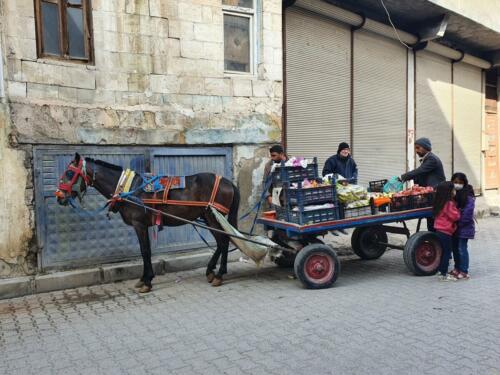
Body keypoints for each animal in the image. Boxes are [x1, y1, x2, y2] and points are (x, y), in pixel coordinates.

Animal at [55, 153, 239, 294]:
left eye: (69, 173)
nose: (59, 196)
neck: (128, 188)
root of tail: (228, 182)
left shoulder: (140, 224)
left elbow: (145, 251)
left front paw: (147, 281)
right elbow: (145, 251)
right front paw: (144, 279)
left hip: (214, 217)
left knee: (223, 242)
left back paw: (219, 275)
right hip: (209, 218)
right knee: (222, 242)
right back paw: (211, 271)